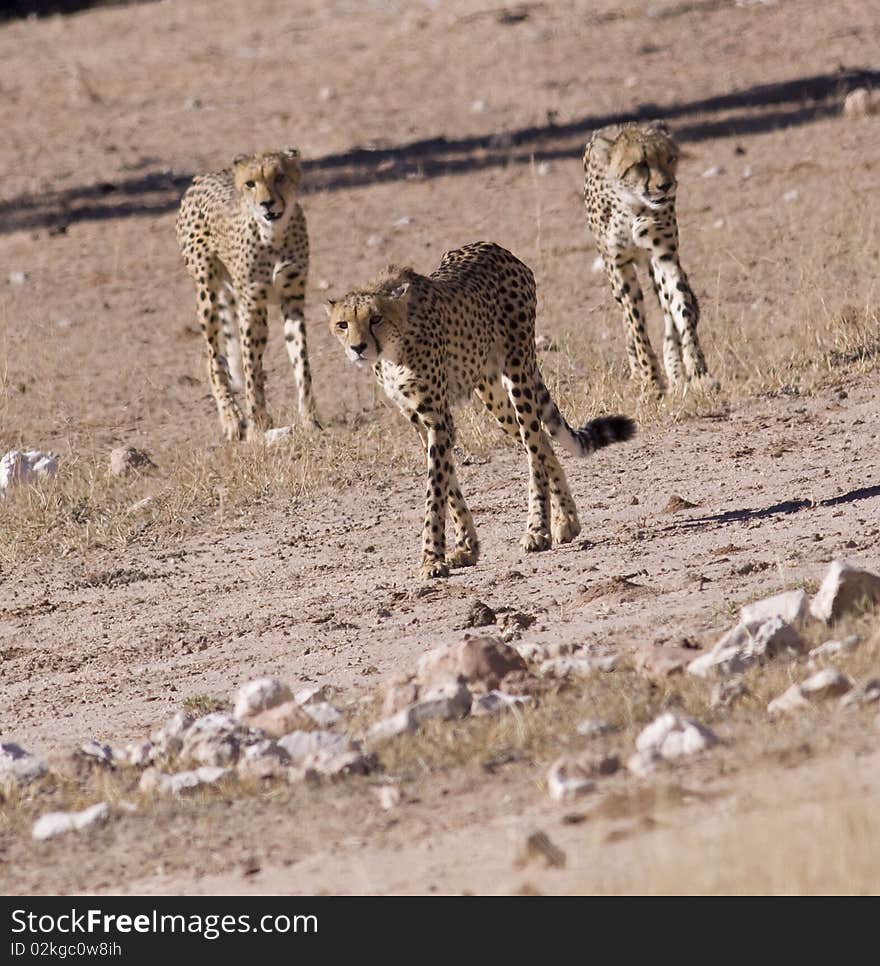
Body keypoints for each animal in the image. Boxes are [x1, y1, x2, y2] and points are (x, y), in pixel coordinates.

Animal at [176, 148, 320, 442]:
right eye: (250, 184)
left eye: (280, 177)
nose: (267, 204)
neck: (274, 237)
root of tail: (203, 175)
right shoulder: (252, 306)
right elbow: (251, 369)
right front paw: (256, 427)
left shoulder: (293, 301)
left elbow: (301, 363)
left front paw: (310, 420)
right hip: (206, 289)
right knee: (213, 359)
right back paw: (231, 418)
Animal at [326, 242, 636, 580]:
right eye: (342, 324)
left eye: (376, 319)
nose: (357, 348)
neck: (393, 349)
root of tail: (495, 247)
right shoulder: (419, 419)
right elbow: (447, 485)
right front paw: (466, 547)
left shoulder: (437, 418)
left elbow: (435, 489)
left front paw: (432, 558)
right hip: (492, 394)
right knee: (542, 442)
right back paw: (565, 521)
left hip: (518, 372)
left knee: (534, 445)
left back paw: (537, 529)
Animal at [584, 123, 716, 396]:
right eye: (641, 164)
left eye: (670, 158)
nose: (666, 186)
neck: (633, 206)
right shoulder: (619, 265)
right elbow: (636, 325)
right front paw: (651, 381)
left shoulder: (664, 257)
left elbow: (682, 310)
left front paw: (698, 374)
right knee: (627, 319)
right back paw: (640, 374)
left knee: (670, 311)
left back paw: (676, 372)